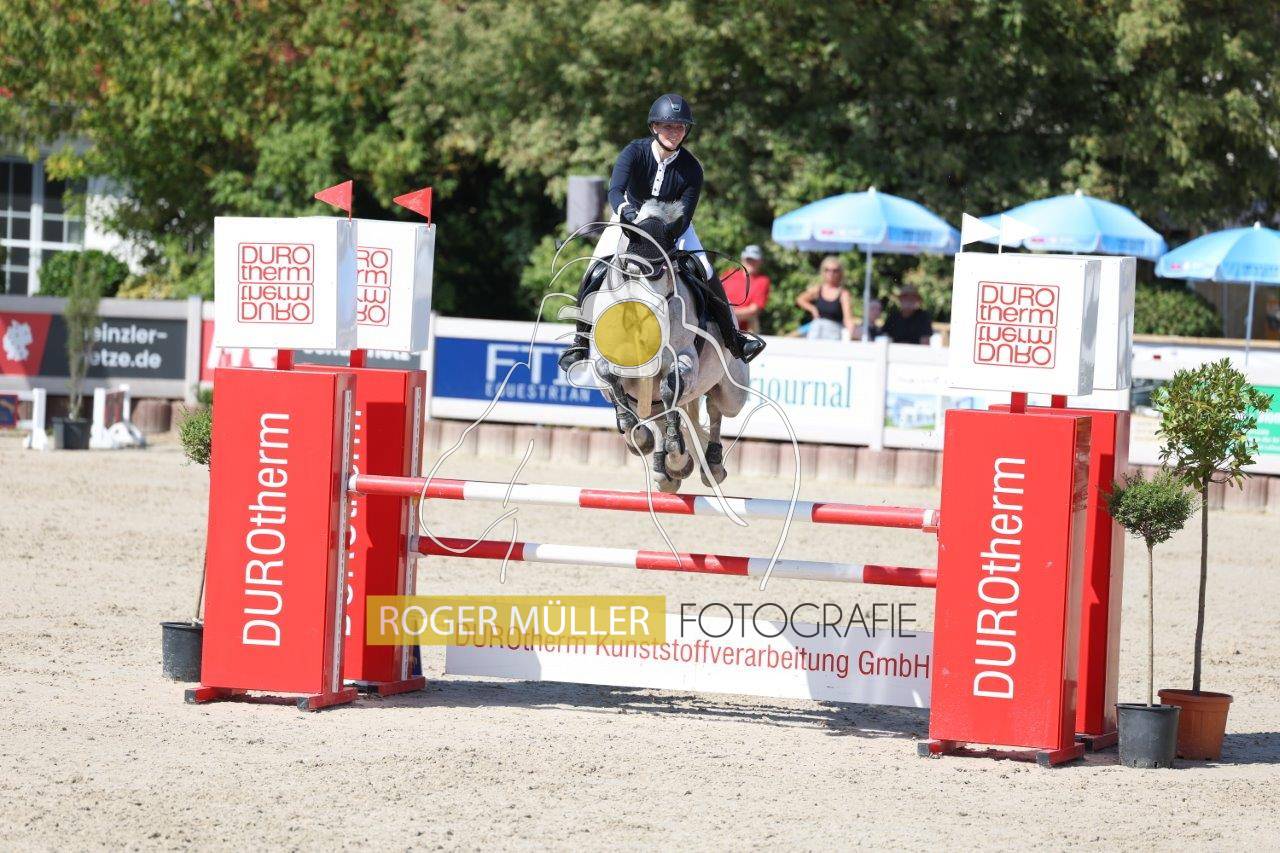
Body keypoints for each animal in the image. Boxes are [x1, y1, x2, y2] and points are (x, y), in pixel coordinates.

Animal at [579, 200, 750, 493]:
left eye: (664, 270)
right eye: (630, 271)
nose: (652, 325)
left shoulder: (684, 359)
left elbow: (671, 388)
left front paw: (675, 453)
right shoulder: (604, 365)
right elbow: (610, 378)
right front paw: (638, 435)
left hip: (732, 394)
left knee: (715, 407)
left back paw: (709, 466)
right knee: (661, 414)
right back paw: (666, 469)